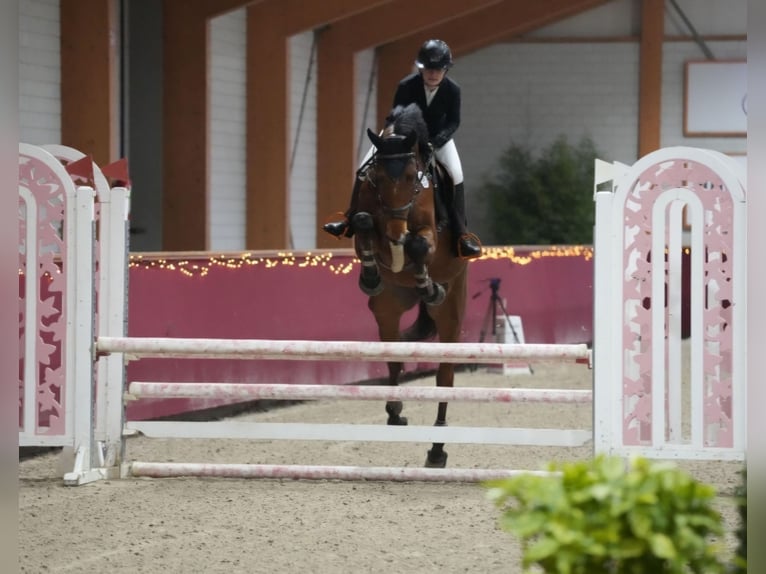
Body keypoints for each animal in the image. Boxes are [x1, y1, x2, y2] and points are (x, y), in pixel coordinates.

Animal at [352, 104, 468, 472]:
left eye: (410, 177)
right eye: (376, 178)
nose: (395, 233)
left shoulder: (429, 233)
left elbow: (419, 245)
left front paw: (429, 285)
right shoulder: (368, 221)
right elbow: (362, 223)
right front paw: (370, 275)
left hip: (451, 316)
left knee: (444, 379)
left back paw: (437, 448)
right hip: (387, 309)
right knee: (393, 354)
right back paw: (395, 411)